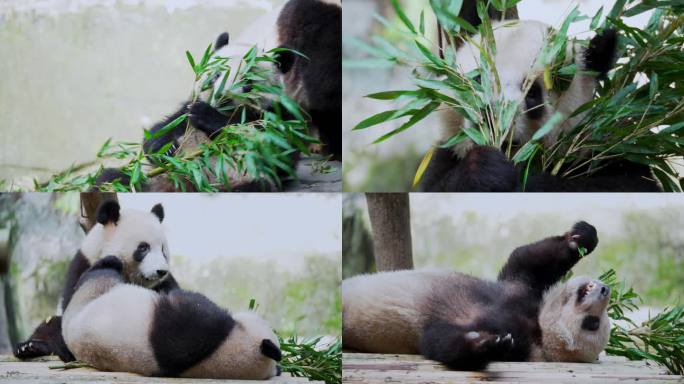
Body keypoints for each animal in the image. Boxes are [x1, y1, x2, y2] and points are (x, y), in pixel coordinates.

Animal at [14, 201, 179, 364]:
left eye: (163, 250)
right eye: (143, 247)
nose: (161, 271)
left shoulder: (164, 284)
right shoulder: (83, 267)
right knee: (51, 325)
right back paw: (29, 347)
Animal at [96, 0, 342, 192]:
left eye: (248, 83)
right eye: (215, 75)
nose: (222, 98)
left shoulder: (279, 116)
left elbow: (275, 151)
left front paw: (210, 117)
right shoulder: (186, 108)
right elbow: (163, 130)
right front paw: (166, 146)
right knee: (111, 180)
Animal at [340, 222, 608, 368]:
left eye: (593, 324)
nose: (605, 290)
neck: (538, 327)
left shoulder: (524, 348)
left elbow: (437, 340)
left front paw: (488, 344)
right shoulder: (520, 291)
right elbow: (527, 260)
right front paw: (581, 238)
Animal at [420, 1, 660, 192]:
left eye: (533, 93)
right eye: (478, 79)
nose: (492, 116)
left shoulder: (604, 150)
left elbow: (631, 182)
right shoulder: (446, 153)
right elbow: (438, 186)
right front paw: (485, 169)